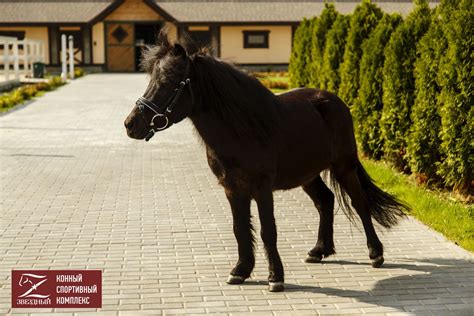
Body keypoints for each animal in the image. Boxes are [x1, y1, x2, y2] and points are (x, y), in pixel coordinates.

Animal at [125, 32, 408, 292]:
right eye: (153, 80)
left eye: (169, 82)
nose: (131, 124)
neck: (243, 129)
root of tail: (334, 101)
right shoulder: (232, 189)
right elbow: (240, 228)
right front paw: (240, 271)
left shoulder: (262, 187)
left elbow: (267, 230)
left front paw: (275, 277)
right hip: (307, 174)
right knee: (325, 201)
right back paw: (318, 251)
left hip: (344, 166)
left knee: (359, 203)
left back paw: (375, 254)